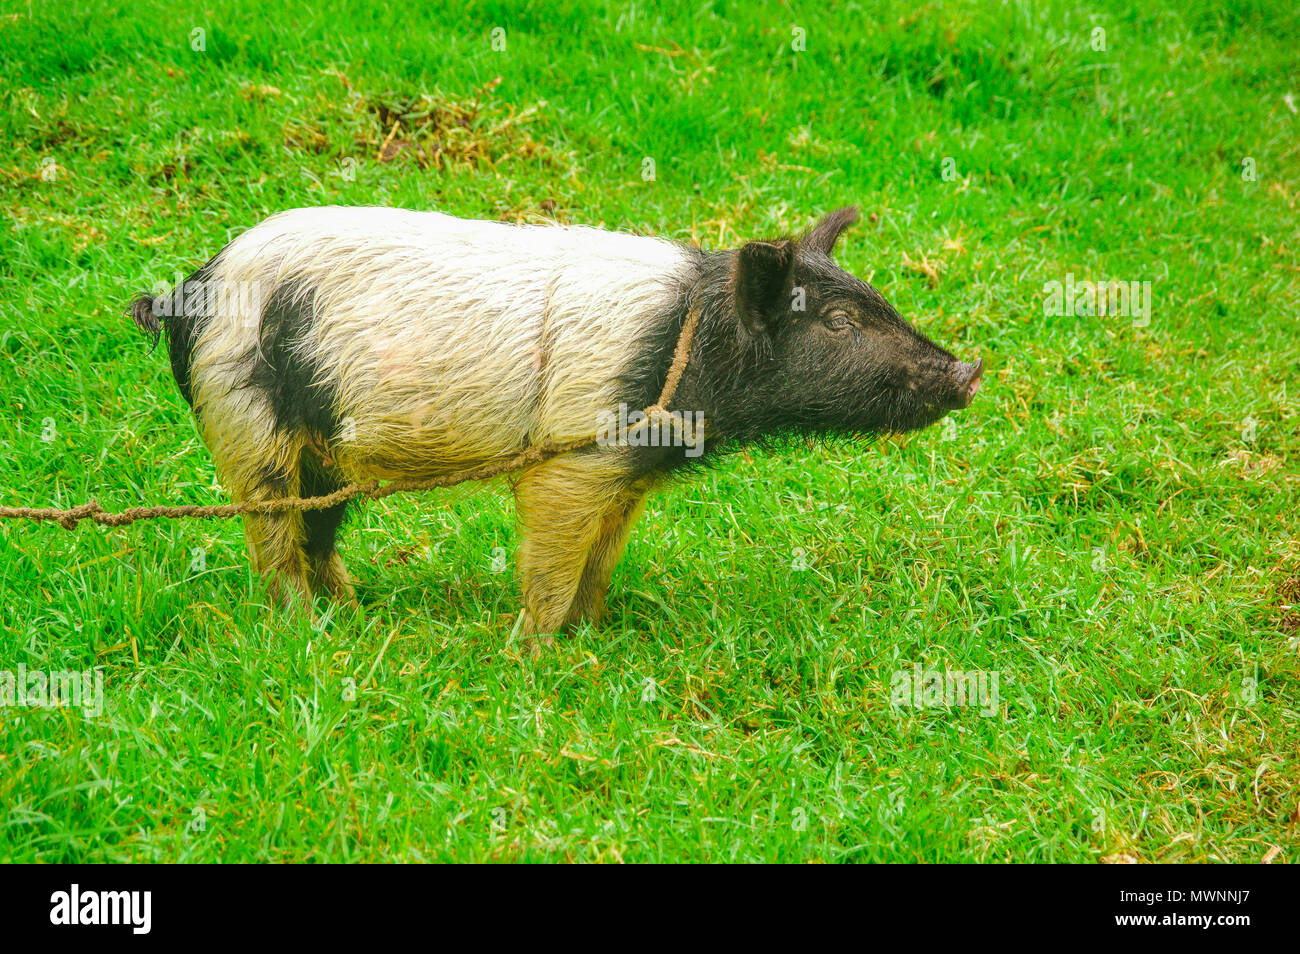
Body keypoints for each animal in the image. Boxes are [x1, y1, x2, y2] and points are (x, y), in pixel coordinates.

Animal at [134, 207, 982, 634]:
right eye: (838, 322)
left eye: (876, 300)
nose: (972, 371)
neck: (688, 352)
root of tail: (186, 294)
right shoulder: (570, 460)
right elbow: (552, 559)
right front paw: (541, 655)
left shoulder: (625, 475)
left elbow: (601, 560)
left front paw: (594, 637)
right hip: (245, 417)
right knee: (275, 535)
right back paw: (309, 634)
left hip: (316, 446)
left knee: (318, 528)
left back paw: (358, 608)